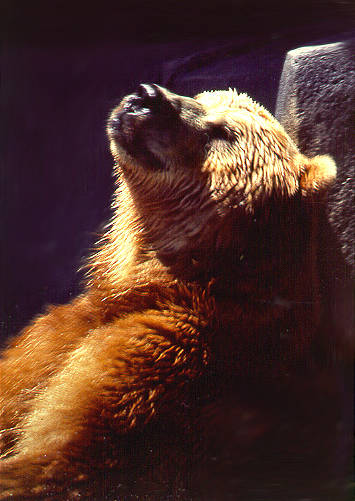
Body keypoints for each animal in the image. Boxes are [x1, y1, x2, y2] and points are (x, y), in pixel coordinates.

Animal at [0, 84, 336, 498]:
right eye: (202, 97)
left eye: (223, 132)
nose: (146, 95)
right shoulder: (55, 339)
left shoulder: (167, 363)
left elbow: (66, 455)